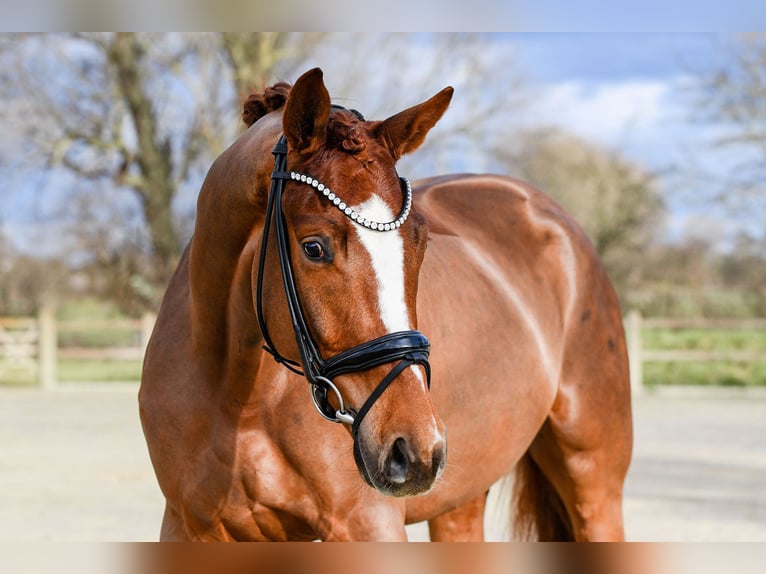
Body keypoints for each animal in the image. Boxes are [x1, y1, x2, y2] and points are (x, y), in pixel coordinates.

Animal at [139, 67, 633, 541]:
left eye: (420, 241)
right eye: (314, 247)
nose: (414, 449)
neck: (239, 396)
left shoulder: (366, 524)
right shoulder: (188, 526)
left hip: (593, 480)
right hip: (462, 496)